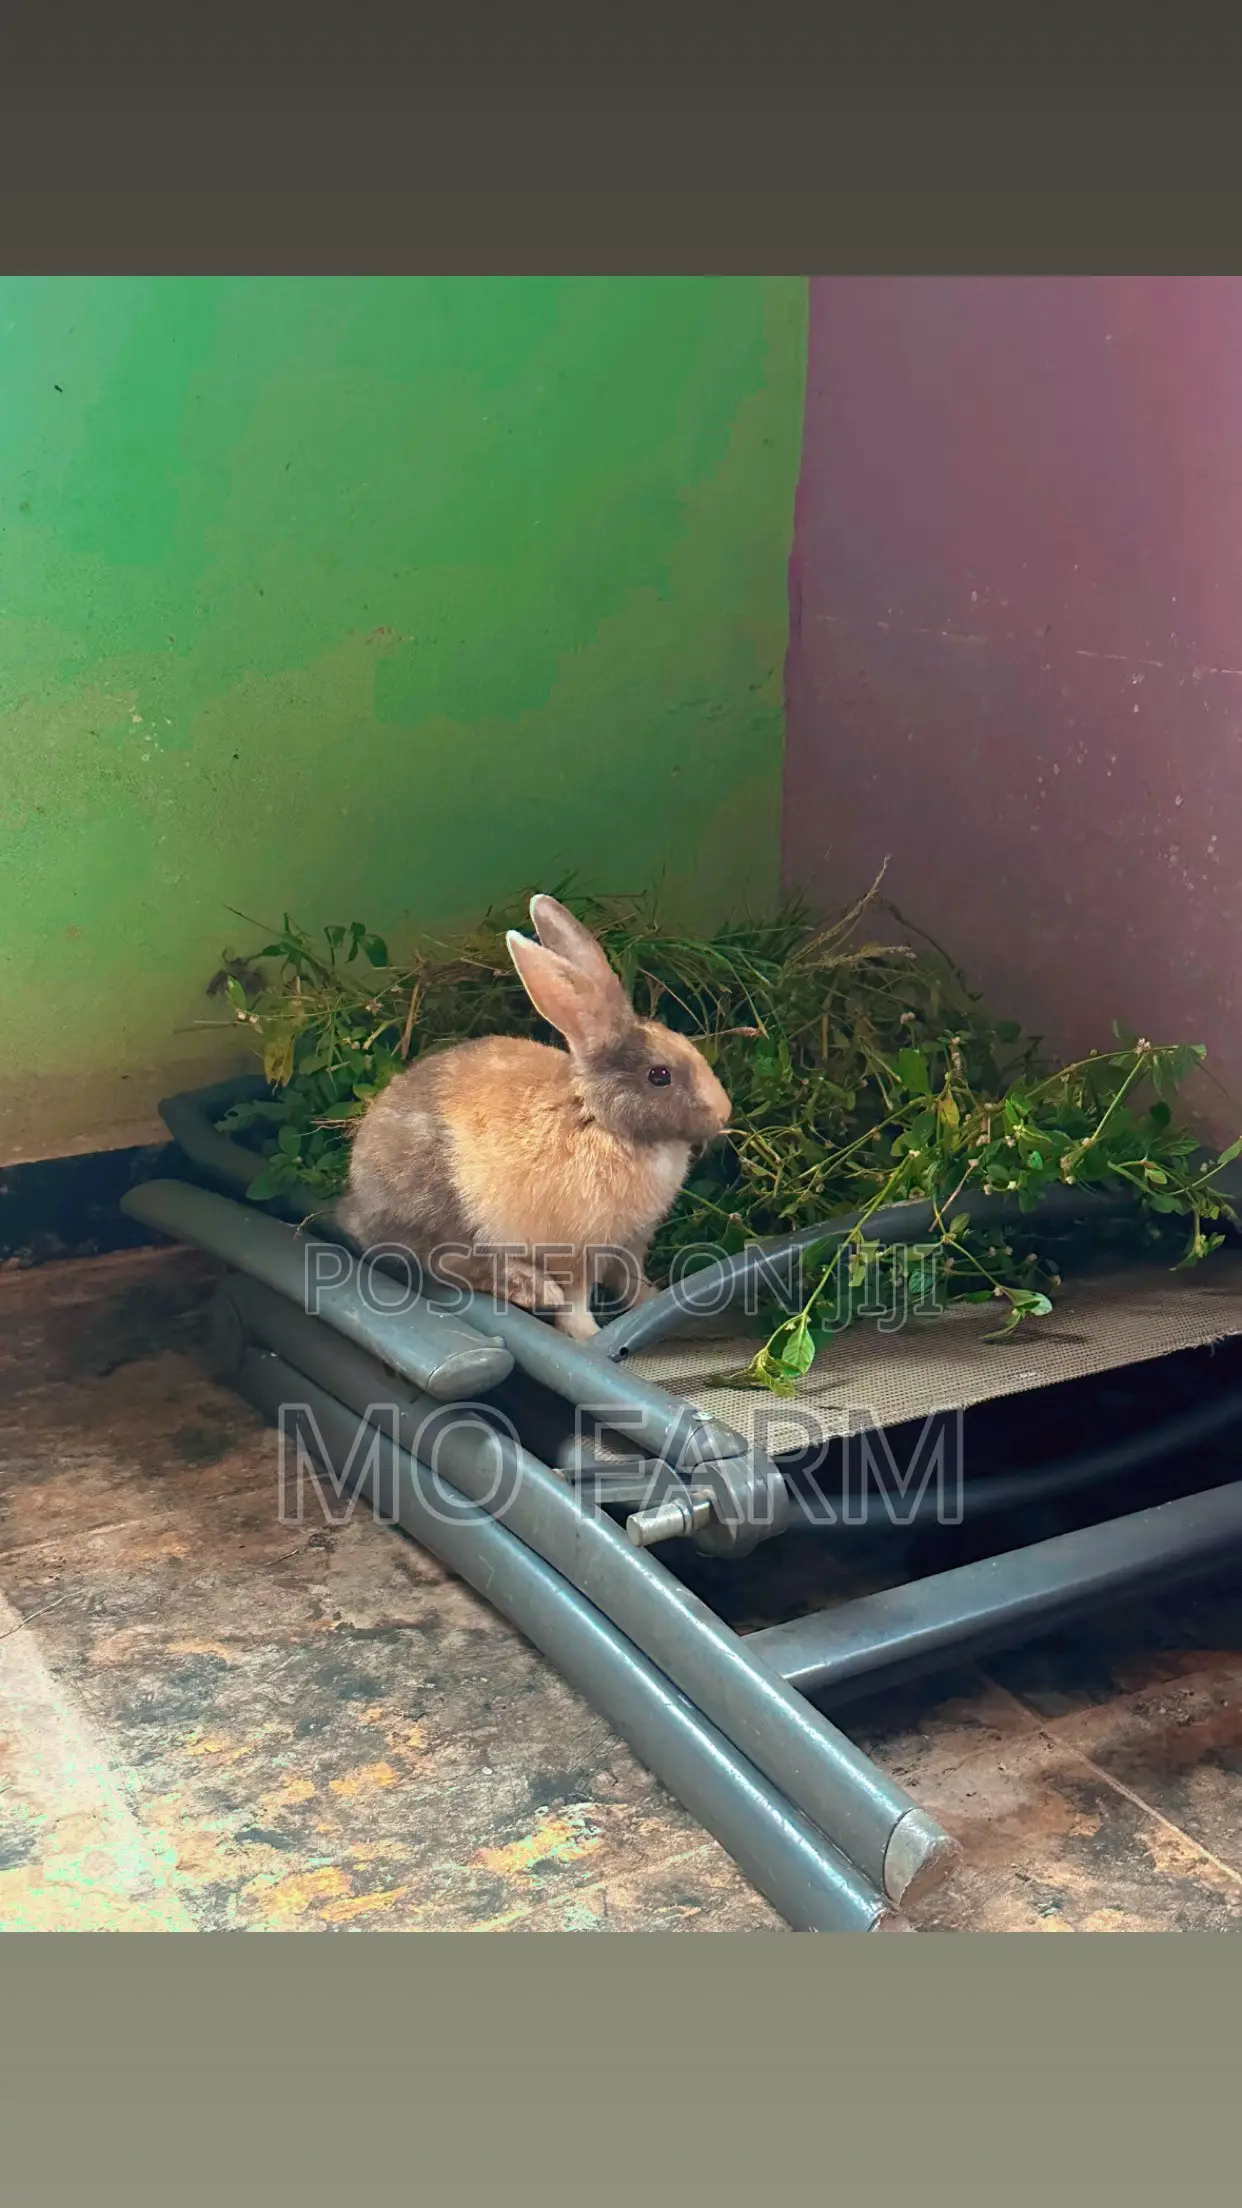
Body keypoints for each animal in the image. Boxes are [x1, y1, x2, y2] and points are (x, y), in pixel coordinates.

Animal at [336, 893, 731, 1341]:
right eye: (659, 1076)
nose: (724, 1112)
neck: (602, 1122)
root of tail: (356, 1199)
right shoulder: (578, 1251)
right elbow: (576, 1296)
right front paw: (586, 1334)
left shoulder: (630, 1243)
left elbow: (629, 1280)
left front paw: (651, 1298)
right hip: (448, 1216)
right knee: (445, 1262)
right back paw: (535, 1290)